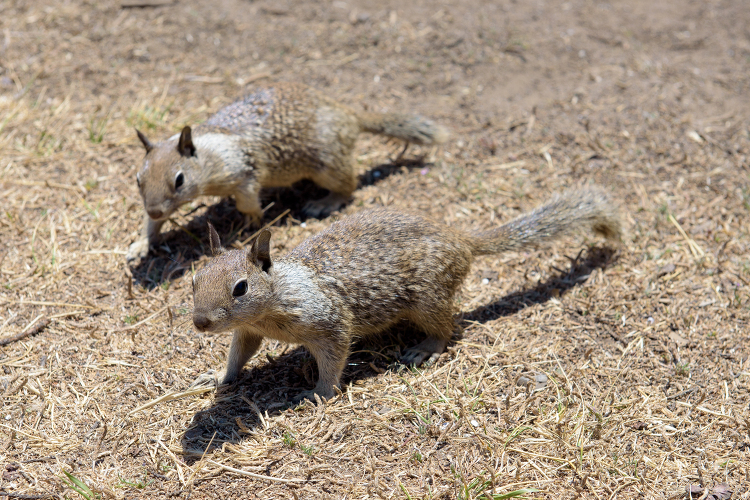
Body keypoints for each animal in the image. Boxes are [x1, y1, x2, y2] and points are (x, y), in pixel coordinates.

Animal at [126, 82, 450, 266]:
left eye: (179, 180)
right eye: (138, 180)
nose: (154, 210)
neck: (209, 154)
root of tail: (348, 114)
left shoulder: (245, 174)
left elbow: (248, 201)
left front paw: (249, 223)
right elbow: (152, 225)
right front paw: (140, 245)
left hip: (327, 164)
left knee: (349, 185)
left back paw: (323, 203)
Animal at [189, 187, 624, 402]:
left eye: (240, 288)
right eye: (194, 280)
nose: (200, 322)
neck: (278, 294)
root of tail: (461, 240)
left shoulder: (328, 322)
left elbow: (333, 356)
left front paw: (317, 394)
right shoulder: (248, 331)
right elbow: (239, 354)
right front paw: (217, 376)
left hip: (428, 299)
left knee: (449, 328)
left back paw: (423, 349)